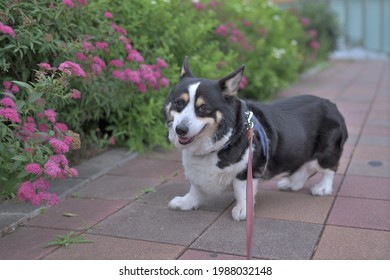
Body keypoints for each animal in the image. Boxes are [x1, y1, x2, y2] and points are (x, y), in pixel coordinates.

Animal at [161, 57, 348, 221]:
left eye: (203, 108)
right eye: (179, 103)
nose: (180, 130)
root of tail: (332, 105)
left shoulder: (247, 170)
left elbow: (242, 192)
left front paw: (243, 210)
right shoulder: (197, 173)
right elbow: (195, 189)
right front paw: (186, 202)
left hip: (326, 152)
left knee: (329, 168)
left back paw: (323, 188)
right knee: (304, 167)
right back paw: (291, 184)